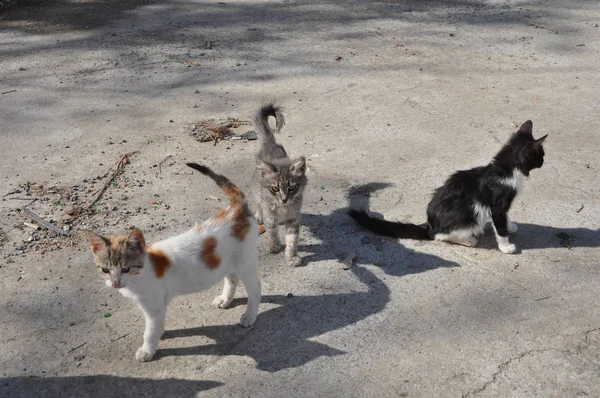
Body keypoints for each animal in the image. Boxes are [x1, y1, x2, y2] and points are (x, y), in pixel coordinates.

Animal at [87, 163, 260, 362]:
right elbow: (156, 325)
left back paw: (249, 315)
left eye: (126, 268)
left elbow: (149, 331)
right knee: (232, 278)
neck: (141, 275)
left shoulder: (153, 307)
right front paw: (159, 333)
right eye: (105, 270)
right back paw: (225, 299)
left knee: (255, 289)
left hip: (245, 262)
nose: (115, 282)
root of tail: (236, 209)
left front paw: (147, 350)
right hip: (228, 261)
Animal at [254, 103, 308, 268]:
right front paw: (274, 246)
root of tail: (270, 144)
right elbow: (272, 232)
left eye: (292, 188)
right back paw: (258, 215)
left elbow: (291, 240)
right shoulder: (270, 216)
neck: (283, 209)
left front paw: (291, 257)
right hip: (256, 190)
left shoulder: (294, 219)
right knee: (258, 202)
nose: (284, 199)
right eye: (275, 188)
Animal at [346, 119, 548, 253]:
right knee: (440, 236)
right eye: (541, 155)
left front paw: (510, 225)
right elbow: (500, 227)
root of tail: (430, 225)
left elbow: (506, 217)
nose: (544, 162)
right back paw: (468, 240)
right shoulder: (497, 204)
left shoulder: (504, 205)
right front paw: (506, 247)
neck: (504, 170)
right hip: (471, 216)